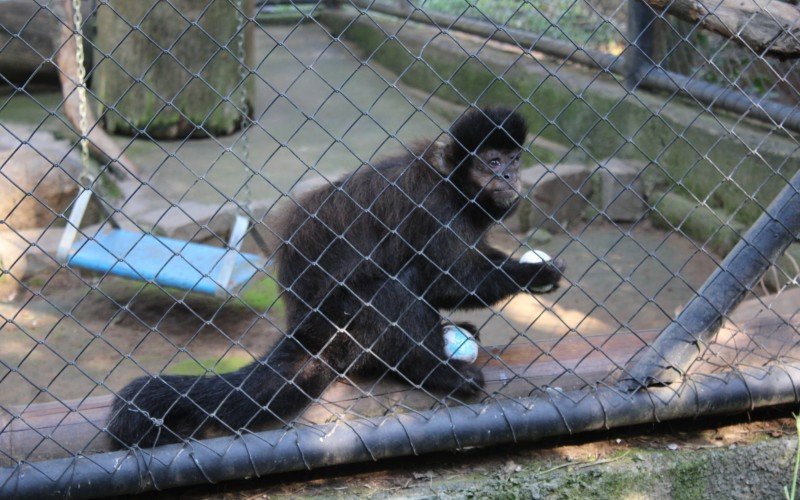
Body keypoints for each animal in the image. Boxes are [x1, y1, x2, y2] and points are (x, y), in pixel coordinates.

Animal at [107, 106, 565, 448]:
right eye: (492, 161)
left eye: (514, 159)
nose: (509, 176)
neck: (450, 183)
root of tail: (307, 335)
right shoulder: (431, 205)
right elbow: (452, 279)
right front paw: (535, 273)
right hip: (346, 333)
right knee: (396, 284)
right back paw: (432, 370)